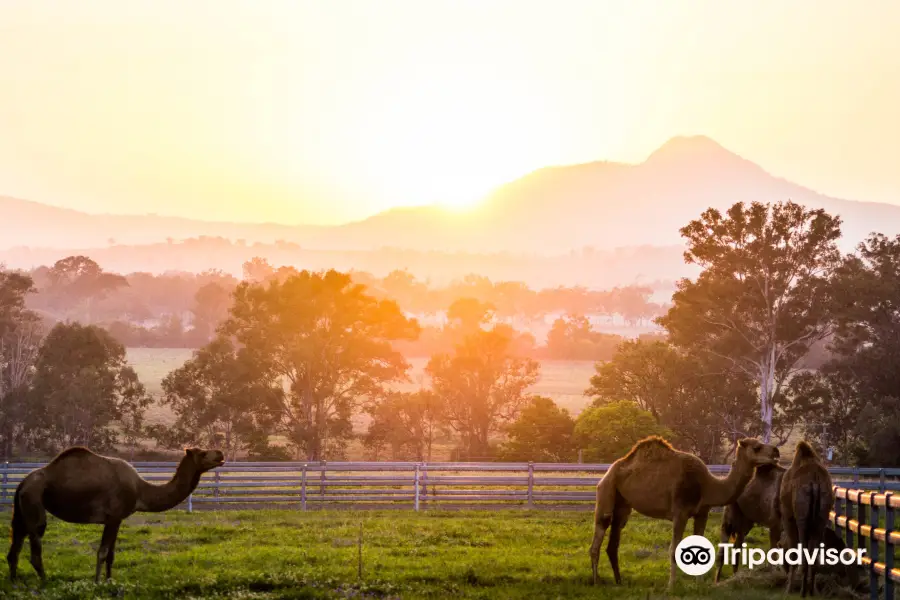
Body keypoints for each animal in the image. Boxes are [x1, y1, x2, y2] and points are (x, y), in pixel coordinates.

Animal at [8, 446, 225, 580]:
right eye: (203, 453)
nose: (221, 454)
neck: (140, 490)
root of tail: (22, 483)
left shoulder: (118, 519)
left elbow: (111, 554)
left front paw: (109, 580)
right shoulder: (112, 517)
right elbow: (102, 552)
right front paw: (96, 583)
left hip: (21, 510)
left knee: (14, 548)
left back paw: (14, 583)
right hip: (34, 501)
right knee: (35, 546)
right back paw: (45, 582)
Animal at [592, 434, 780, 588]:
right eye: (757, 447)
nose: (776, 452)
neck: (708, 485)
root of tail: (608, 471)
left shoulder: (702, 513)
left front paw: (699, 583)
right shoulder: (680, 512)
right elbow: (674, 549)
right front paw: (671, 586)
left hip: (623, 504)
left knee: (615, 537)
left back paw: (619, 581)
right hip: (607, 489)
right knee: (600, 529)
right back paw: (597, 582)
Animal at [776, 438, 832, 596]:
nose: (783, 568)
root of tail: (815, 482)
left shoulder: (788, 517)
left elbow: (793, 551)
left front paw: (788, 589)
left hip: (800, 517)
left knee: (802, 552)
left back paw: (802, 591)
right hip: (821, 517)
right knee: (814, 555)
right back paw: (811, 591)